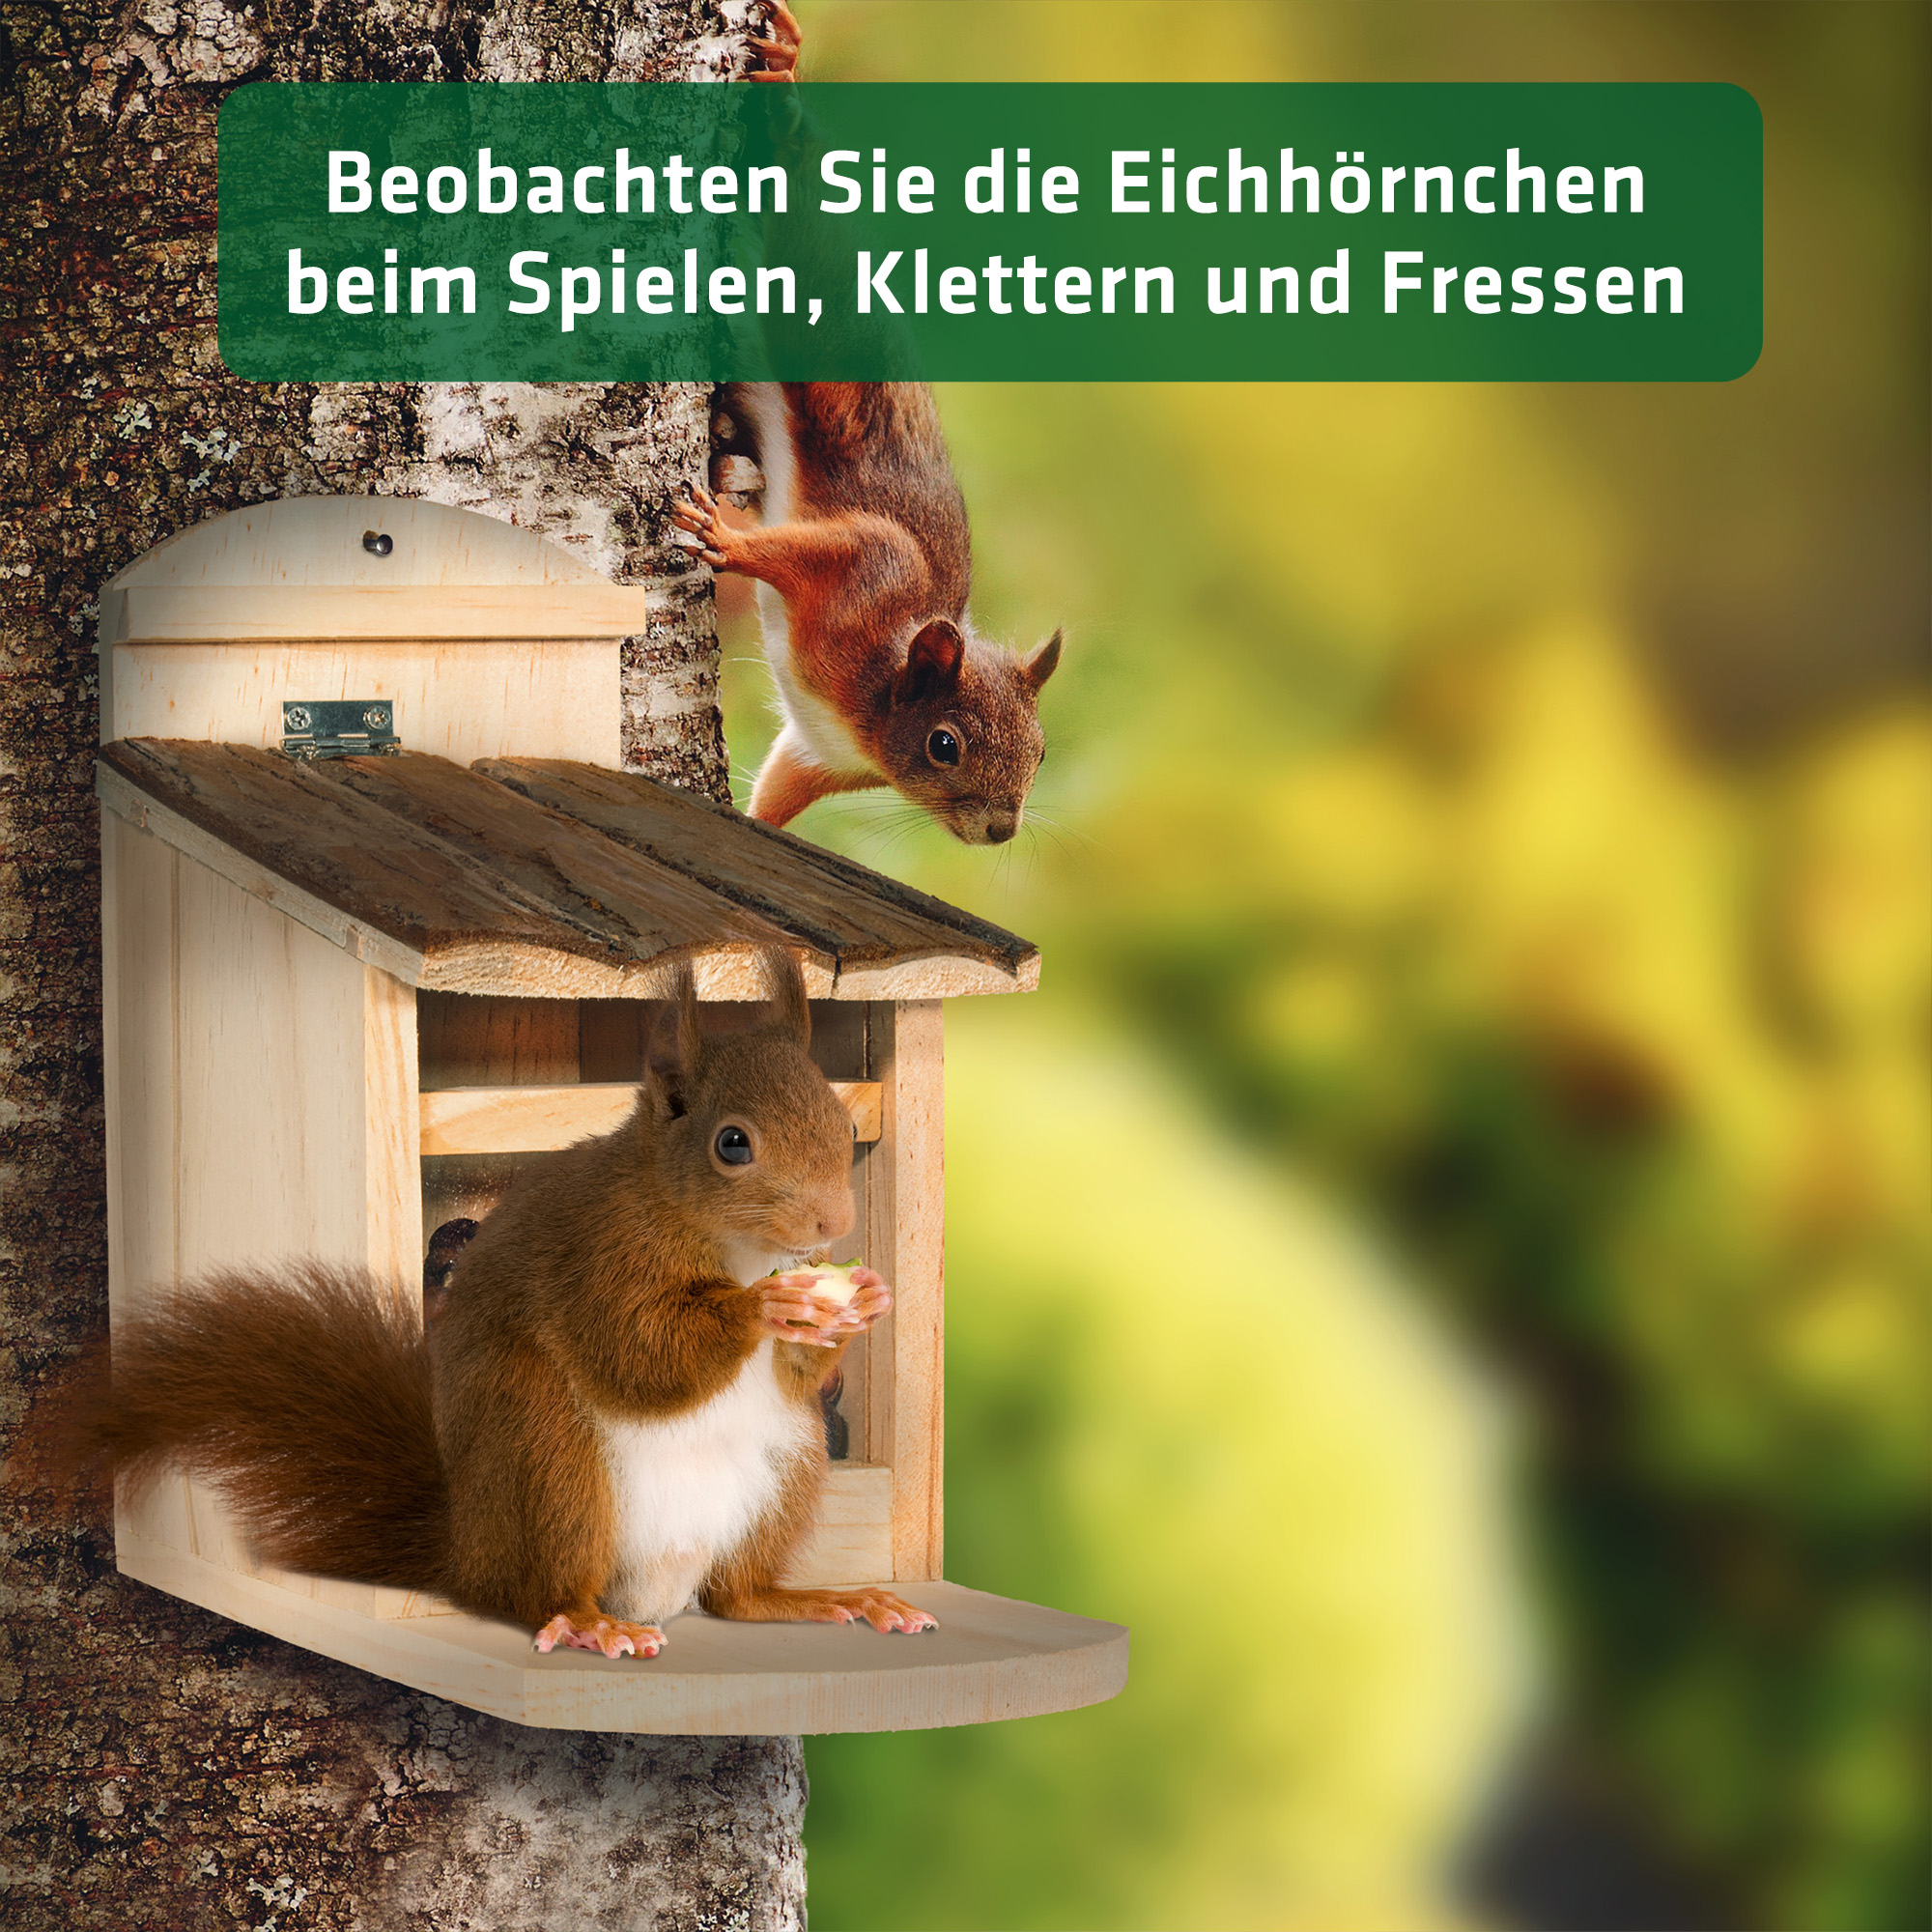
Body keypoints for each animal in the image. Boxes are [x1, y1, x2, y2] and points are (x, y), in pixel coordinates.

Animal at [45, 947, 936, 1660]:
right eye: (732, 1143)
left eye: (841, 1118)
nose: (835, 1223)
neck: (734, 1247)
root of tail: (464, 1551)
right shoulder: (598, 1255)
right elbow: (637, 1352)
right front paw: (763, 1310)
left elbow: (795, 1370)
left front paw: (867, 1298)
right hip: (548, 1458)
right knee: (540, 1590)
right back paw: (590, 1624)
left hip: (787, 1466)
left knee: (737, 1596)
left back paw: (828, 1600)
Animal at [674, 387, 1061, 844]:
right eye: (943, 745)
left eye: (1041, 751)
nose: (1001, 830)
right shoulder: (872, 563)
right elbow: (794, 550)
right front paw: (721, 538)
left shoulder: (819, 755)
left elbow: (776, 791)